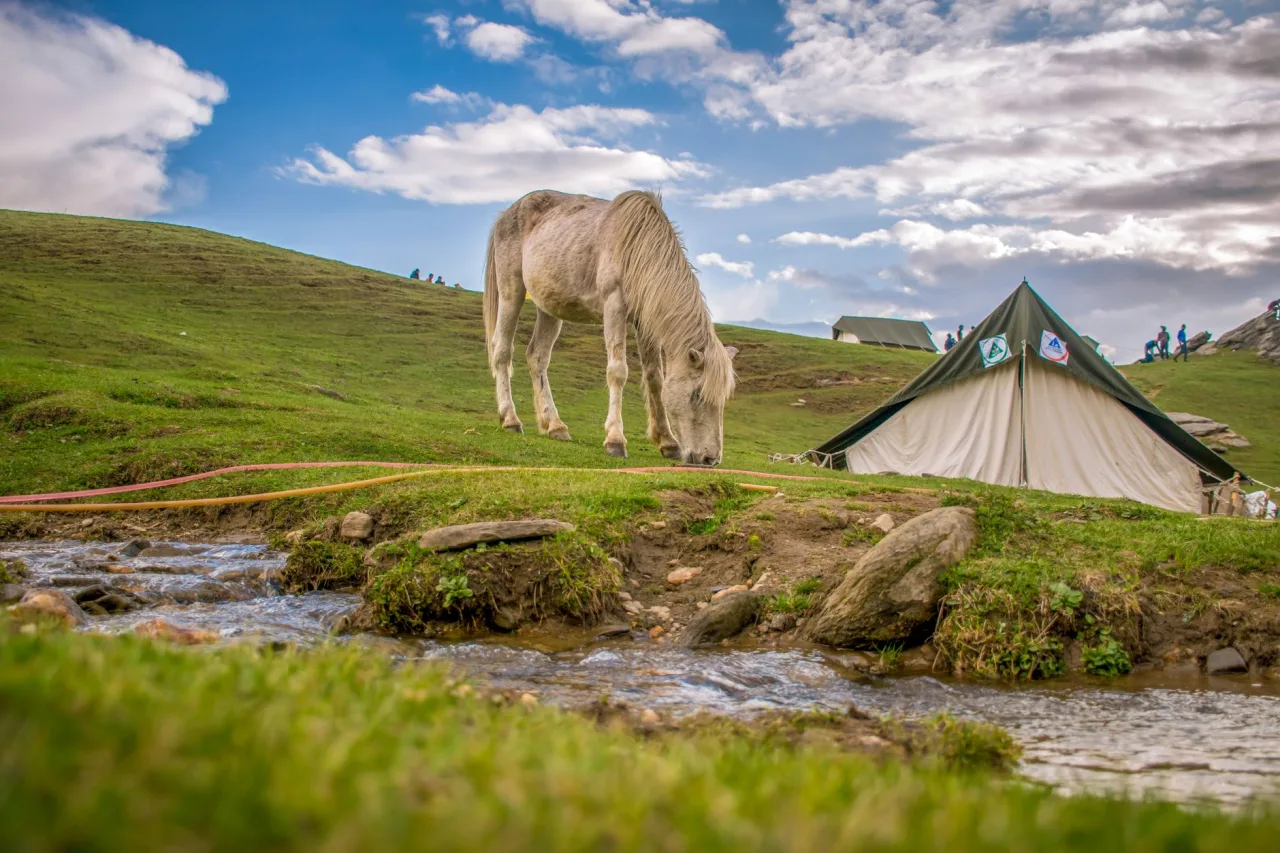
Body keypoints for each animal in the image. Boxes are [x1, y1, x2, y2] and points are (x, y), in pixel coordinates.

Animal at [482, 189, 737, 466]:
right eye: (697, 394)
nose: (710, 459)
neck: (636, 245)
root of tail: (505, 215)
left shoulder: (644, 322)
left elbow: (655, 378)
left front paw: (667, 442)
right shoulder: (614, 306)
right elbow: (618, 372)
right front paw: (615, 440)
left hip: (549, 308)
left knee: (537, 357)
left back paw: (555, 425)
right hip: (512, 290)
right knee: (502, 350)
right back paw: (510, 419)